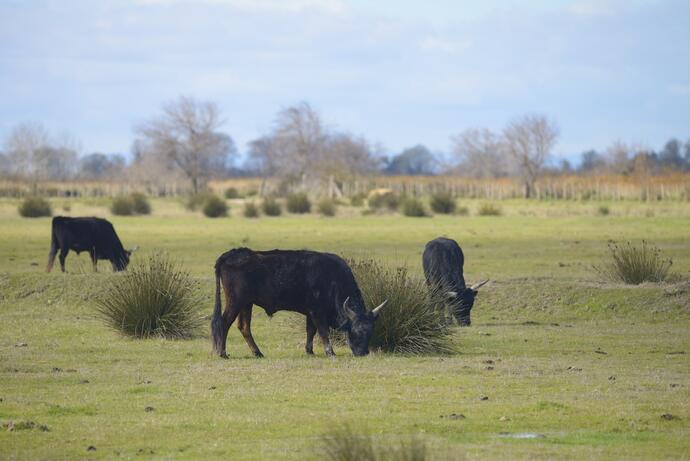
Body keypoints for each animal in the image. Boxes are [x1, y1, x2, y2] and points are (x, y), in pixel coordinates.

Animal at [210, 246, 388, 358]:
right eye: (356, 332)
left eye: (370, 332)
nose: (363, 353)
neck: (333, 279)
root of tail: (228, 255)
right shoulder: (318, 312)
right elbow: (323, 331)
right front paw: (330, 352)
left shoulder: (310, 313)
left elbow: (311, 331)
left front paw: (309, 351)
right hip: (236, 302)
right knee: (224, 323)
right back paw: (222, 353)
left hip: (246, 304)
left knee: (244, 326)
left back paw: (257, 353)